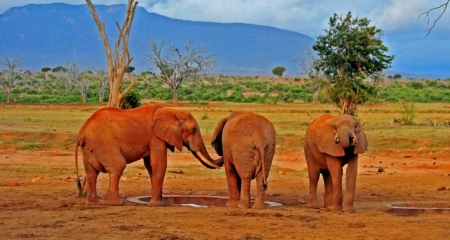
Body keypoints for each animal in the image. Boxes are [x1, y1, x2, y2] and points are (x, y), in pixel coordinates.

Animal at [74, 104, 224, 206]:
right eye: (193, 130)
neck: (170, 110)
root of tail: (82, 132)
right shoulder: (156, 137)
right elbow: (159, 163)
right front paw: (158, 205)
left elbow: (151, 166)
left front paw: (162, 202)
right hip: (105, 145)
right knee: (118, 166)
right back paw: (117, 203)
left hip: (89, 148)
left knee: (91, 173)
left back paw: (92, 203)